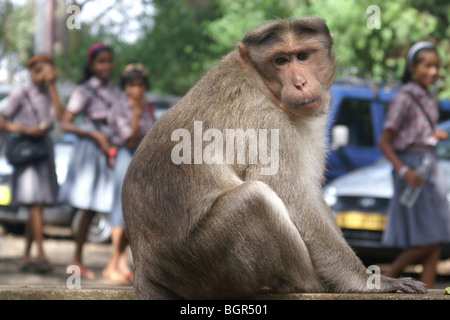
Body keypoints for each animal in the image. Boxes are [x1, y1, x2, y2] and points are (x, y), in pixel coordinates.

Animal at [121, 17, 428, 298]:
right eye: (280, 60)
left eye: (303, 56)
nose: (300, 82)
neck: (262, 83)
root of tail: (144, 267)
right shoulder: (268, 124)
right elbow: (296, 201)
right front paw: (368, 281)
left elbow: (311, 195)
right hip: (203, 263)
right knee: (255, 199)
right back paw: (305, 283)